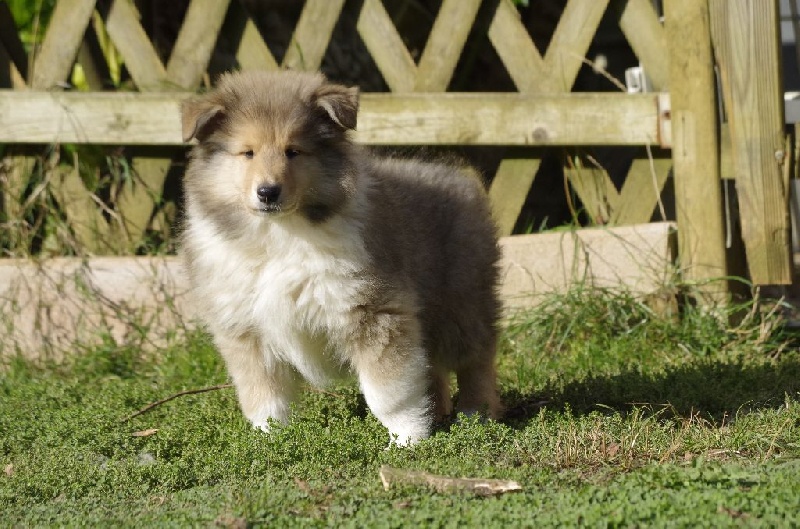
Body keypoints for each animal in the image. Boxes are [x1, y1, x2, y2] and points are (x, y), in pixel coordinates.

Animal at [180, 70, 501, 445]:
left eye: (293, 152)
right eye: (247, 152)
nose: (268, 192)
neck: (281, 234)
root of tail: (459, 177)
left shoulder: (373, 312)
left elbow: (389, 392)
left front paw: (407, 442)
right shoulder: (247, 331)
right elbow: (265, 397)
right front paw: (271, 442)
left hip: (461, 302)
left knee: (476, 359)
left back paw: (478, 416)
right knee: (432, 366)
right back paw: (437, 414)